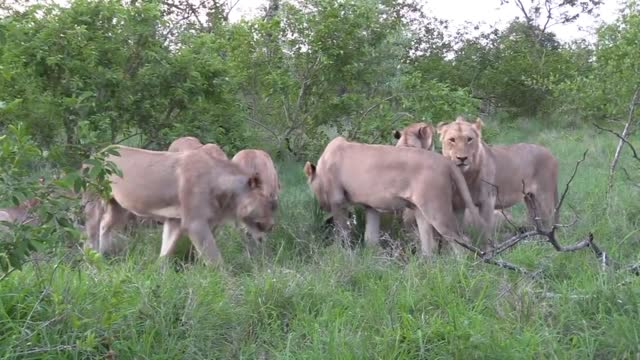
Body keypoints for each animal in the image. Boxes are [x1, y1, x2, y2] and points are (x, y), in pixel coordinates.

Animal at [84, 145, 274, 266]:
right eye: (271, 203)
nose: (272, 226)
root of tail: (96, 153)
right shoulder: (195, 223)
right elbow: (215, 259)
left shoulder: (174, 220)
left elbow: (166, 249)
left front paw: (157, 272)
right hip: (95, 200)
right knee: (92, 230)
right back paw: (93, 257)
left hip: (118, 206)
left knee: (105, 225)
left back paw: (104, 255)